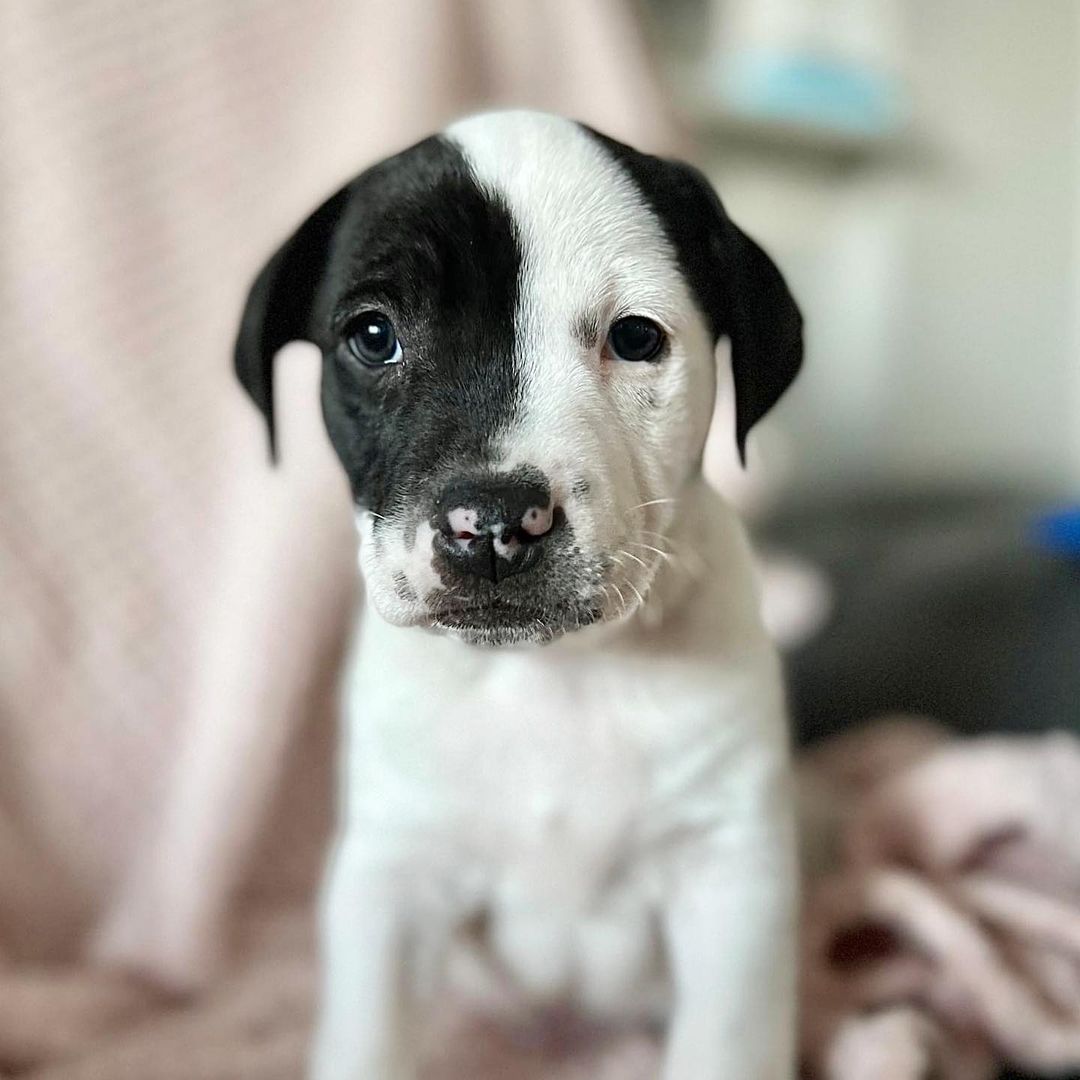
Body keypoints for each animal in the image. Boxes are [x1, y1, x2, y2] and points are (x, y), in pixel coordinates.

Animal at [234, 109, 803, 1080]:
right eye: (374, 336)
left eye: (637, 338)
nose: (495, 521)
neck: (552, 676)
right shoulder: (391, 875)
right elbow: (366, 1038)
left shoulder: (731, 880)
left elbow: (725, 1043)